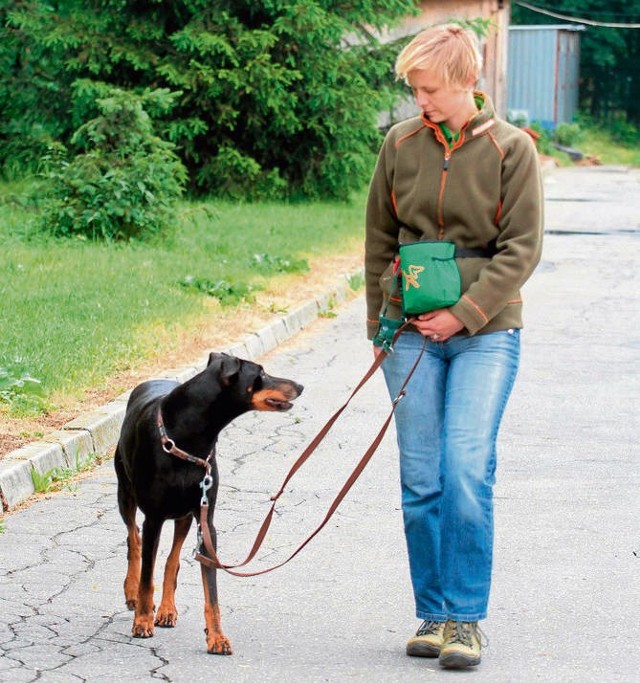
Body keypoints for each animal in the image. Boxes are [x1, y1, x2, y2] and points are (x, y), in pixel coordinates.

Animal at [114, 356, 302, 656]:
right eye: (260, 373)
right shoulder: (153, 518)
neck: (189, 439)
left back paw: (167, 609)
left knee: (172, 560)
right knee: (134, 540)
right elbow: (146, 576)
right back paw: (132, 593)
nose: (300, 386)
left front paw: (217, 637)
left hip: (185, 515)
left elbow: (210, 591)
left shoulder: (206, 520)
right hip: (126, 493)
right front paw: (142, 620)